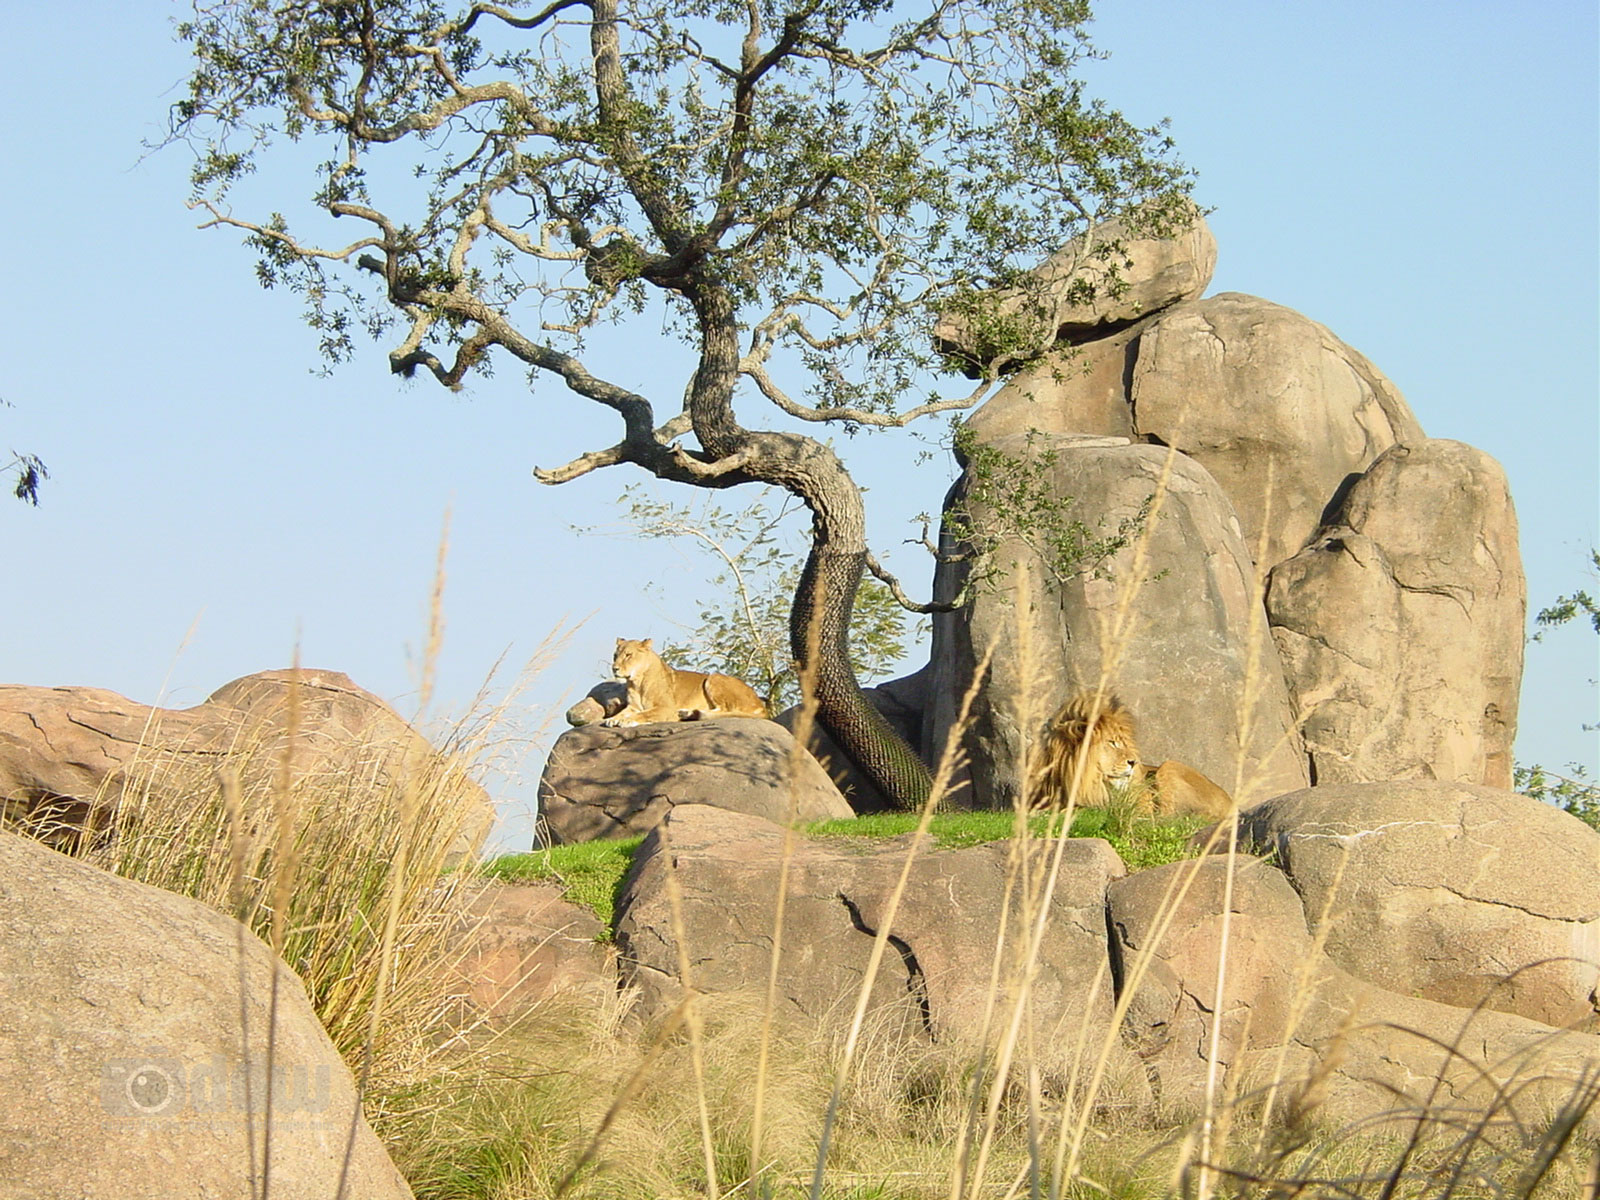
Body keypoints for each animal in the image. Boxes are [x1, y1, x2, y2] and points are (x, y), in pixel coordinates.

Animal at [601, 643, 771, 729]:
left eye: (628, 655)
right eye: (615, 656)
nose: (614, 668)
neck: (637, 681)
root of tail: (760, 704)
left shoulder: (666, 708)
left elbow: (645, 714)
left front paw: (627, 721)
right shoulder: (633, 707)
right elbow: (624, 712)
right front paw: (613, 719)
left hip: (714, 677)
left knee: (726, 709)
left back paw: (688, 713)